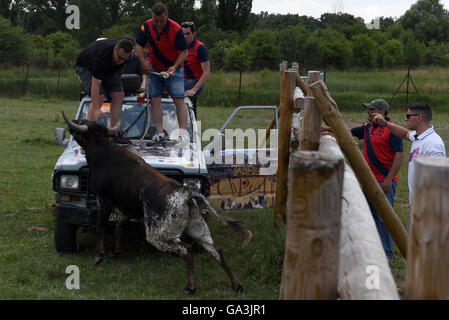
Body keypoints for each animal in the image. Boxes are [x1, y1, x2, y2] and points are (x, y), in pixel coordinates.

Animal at [61, 111, 252, 294]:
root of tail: (185, 193)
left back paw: (191, 287)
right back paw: (236, 284)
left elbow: (101, 227)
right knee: (215, 250)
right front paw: (116, 251)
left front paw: (98, 257)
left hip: (158, 234)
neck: (102, 150)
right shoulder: (122, 205)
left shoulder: (104, 199)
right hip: (198, 228)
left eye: (83, 124)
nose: (74, 122)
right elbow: (119, 226)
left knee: (187, 250)